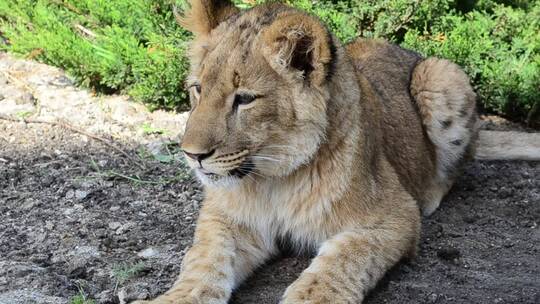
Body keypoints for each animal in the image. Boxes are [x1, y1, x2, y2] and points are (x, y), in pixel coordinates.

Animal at [134, 1, 476, 302]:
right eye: (198, 89)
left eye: (244, 99)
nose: (192, 155)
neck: (273, 179)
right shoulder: (225, 218)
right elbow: (204, 257)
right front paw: (177, 298)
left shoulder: (396, 214)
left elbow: (344, 259)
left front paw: (314, 297)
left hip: (440, 74)